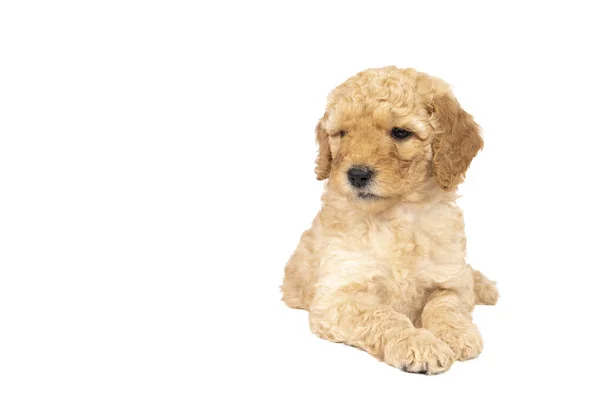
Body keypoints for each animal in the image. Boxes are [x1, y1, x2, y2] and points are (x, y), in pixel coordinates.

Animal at [282, 66, 496, 376]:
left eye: (400, 133)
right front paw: (418, 344)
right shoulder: (339, 297)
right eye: (342, 133)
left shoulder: (448, 280)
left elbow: (445, 305)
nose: (357, 174)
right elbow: (383, 316)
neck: (396, 216)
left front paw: (456, 334)